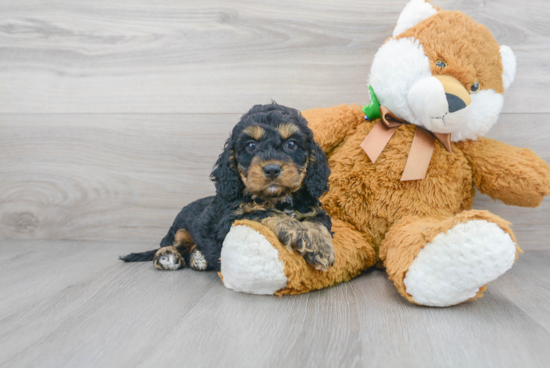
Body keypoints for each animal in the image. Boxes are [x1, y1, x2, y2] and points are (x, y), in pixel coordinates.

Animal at [121, 102, 334, 272]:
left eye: (291, 144)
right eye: (251, 146)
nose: (272, 169)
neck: (277, 199)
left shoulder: (313, 211)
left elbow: (316, 223)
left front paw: (319, 243)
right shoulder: (231, 219)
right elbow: (266, 212)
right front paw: (311, 240)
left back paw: (198, 257)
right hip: (180, 226)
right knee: (172, 243)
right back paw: (167, 256)